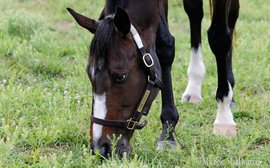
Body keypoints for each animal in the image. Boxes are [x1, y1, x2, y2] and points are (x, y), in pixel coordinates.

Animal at [67, 0, 238, 158]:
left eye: (120, 76)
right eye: (89, 74)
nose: (100, 148)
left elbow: (219, 38)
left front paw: (224, 117)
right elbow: (164, 45)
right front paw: (168, 133)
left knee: (231, 17)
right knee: (194, 12)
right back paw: (194, 88)